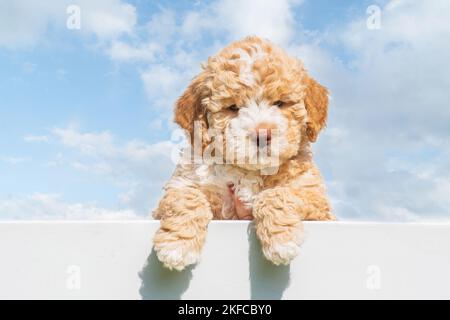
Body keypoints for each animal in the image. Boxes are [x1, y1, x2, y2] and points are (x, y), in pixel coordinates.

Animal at [153, 35, 336, 270]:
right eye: (233, 107)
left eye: (280, 103)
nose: (262, 134)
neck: (250, 171)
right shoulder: (184, 183)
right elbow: (185, 197)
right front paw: (176, 246)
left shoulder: (316, 200)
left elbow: (279, 193)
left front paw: (281, 241)